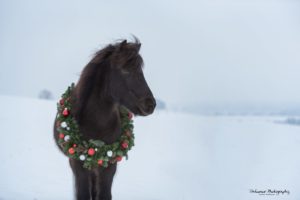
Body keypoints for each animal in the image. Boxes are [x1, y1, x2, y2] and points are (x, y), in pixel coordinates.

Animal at [53, 38, 156, 200]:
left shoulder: (110, 165)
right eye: (125, 70)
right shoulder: (78, 164)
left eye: (141, 70)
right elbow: (83, 194)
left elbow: (104, 194)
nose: (150, 104)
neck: (96, 125)